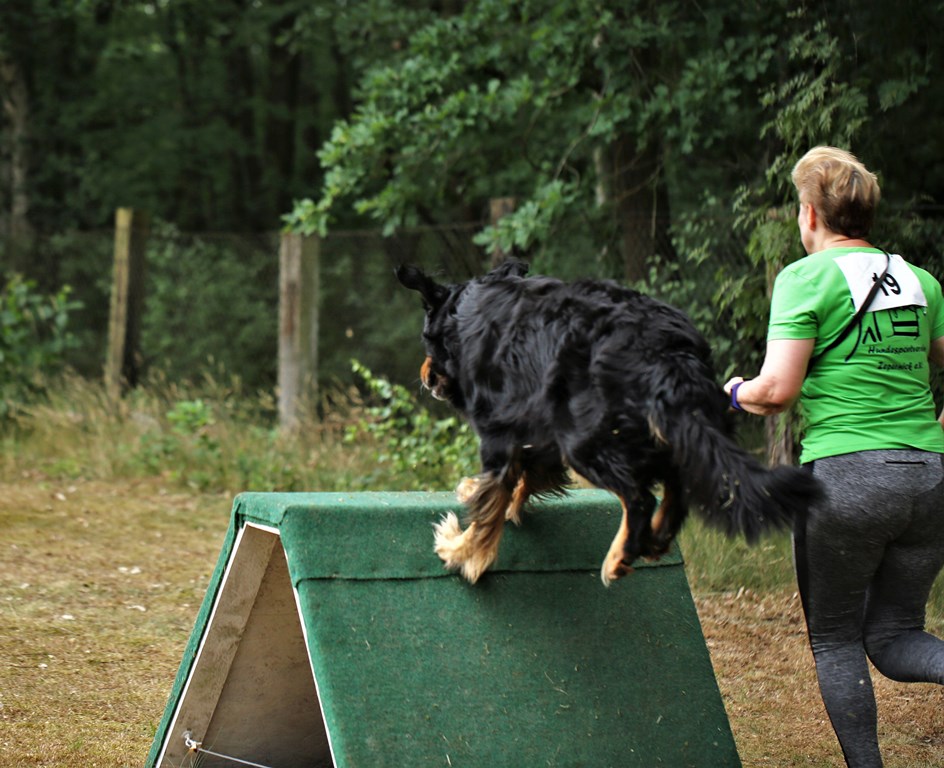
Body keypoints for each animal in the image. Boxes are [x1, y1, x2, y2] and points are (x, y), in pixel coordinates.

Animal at [396, 260, 822, 585]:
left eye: (424, 339)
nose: (424, 375)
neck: (465, 313)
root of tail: (665, 350)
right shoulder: (537, 425)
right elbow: (522, 478)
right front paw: (496, 503)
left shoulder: (501, 431)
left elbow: (493, 500)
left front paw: (461, 551)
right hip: (675, 424)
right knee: (676, 484)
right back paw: (655, 539)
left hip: (585, 440)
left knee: (639, 497)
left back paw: (621, 555)